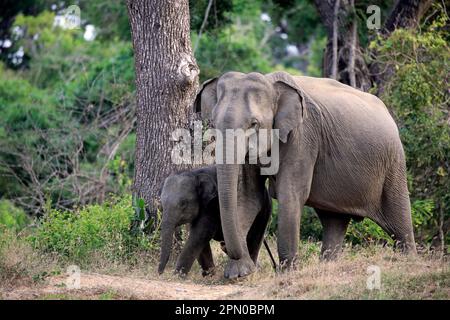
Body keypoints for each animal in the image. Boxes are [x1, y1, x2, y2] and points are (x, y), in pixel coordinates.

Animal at [195, 71, 416, 278]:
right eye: (212, 123)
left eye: (254, 124)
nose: (224, 245)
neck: (271, 84)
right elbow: (249, 197)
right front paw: (237, 274)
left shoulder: (303, 136)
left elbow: (290, 194)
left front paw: (287, 273)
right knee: (334, 221)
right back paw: (328, 267)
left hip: (393, 162)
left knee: (398, 218)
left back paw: (408, 261)